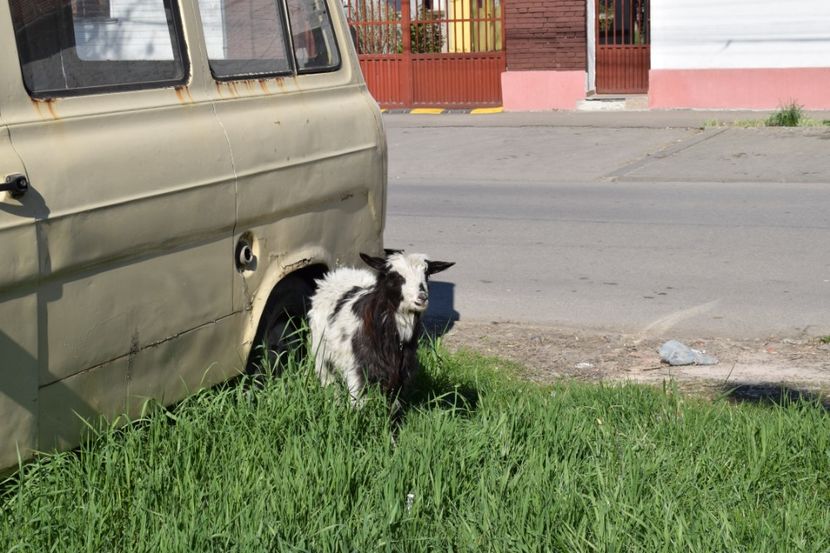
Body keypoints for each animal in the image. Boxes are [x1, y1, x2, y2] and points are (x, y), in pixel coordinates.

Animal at [310, 251, 456, 406]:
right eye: (395, 276)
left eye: (426, 274)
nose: (422, 298)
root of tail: (339, 273)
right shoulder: (357, 370)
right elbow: (358, 403)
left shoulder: (400, 374)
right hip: (321, 353)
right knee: (329, 382)